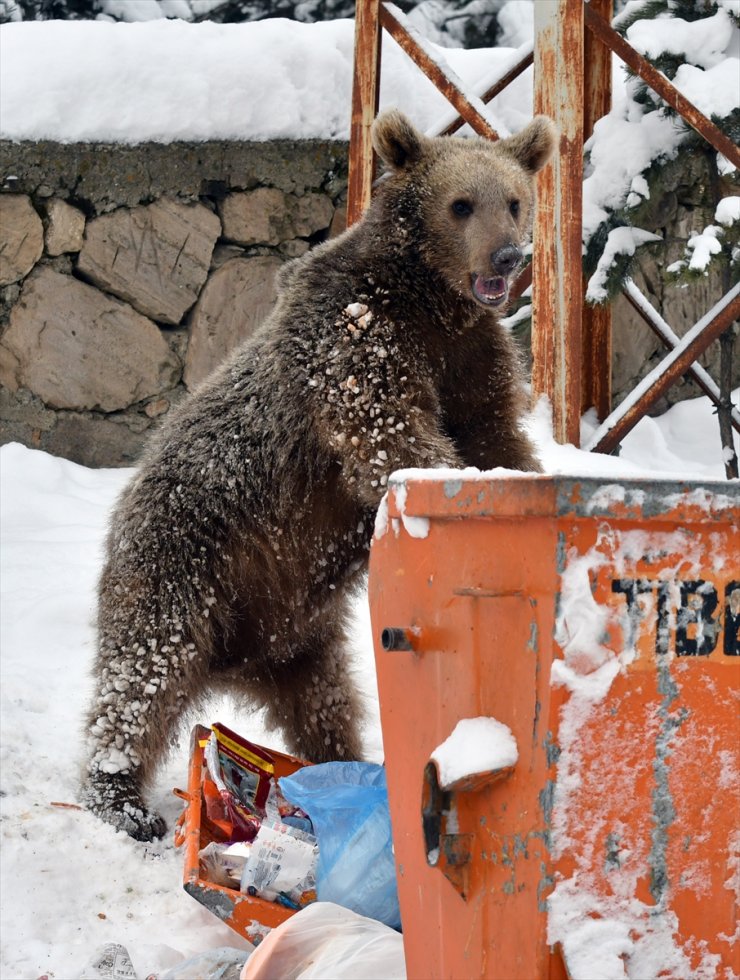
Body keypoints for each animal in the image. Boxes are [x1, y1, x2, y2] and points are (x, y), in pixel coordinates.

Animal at [81, 109, 556, 844]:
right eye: (460, 204)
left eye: (514, 200)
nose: (508, 258)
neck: (430, 300)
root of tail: (234, 661)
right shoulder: (355, 342)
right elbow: (391, 435)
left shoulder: (472, 360)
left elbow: (496, 435)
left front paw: (521, 481)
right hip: (183, 563)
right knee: (143, 674)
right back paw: (120, 796)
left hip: (301, 633)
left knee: (326, 702)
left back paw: (342, 767)